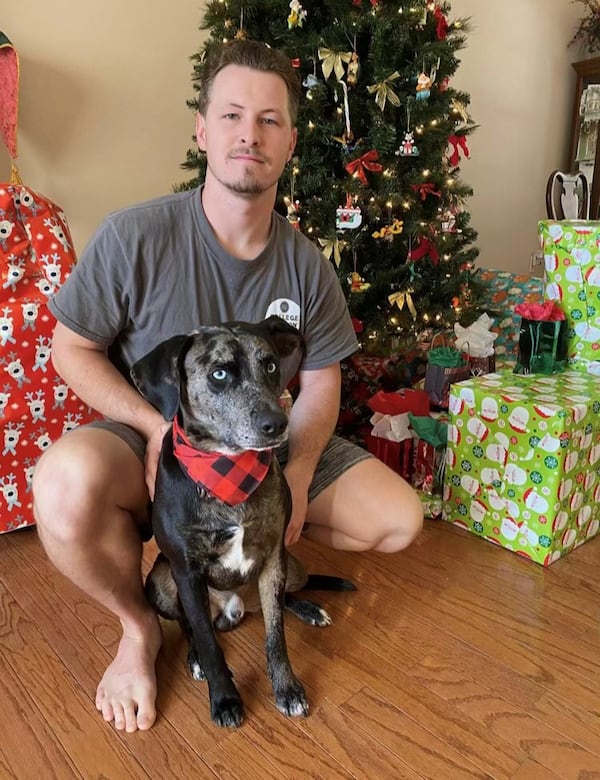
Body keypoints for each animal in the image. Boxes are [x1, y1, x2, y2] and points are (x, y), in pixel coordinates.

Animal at [131, 314, 354, 728]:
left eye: (270, 365)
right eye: (219, 373)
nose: (276, 423)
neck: (228, 466)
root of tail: (235, 609)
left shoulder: (274, 557)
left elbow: (276, 635)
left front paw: (287, 688)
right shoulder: (186, 574)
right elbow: (206, 640)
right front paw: (224, 698)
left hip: (293, 567)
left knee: (283, 597)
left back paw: (308, 608)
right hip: (159, 581)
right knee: (188, 625)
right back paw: (194, 659)